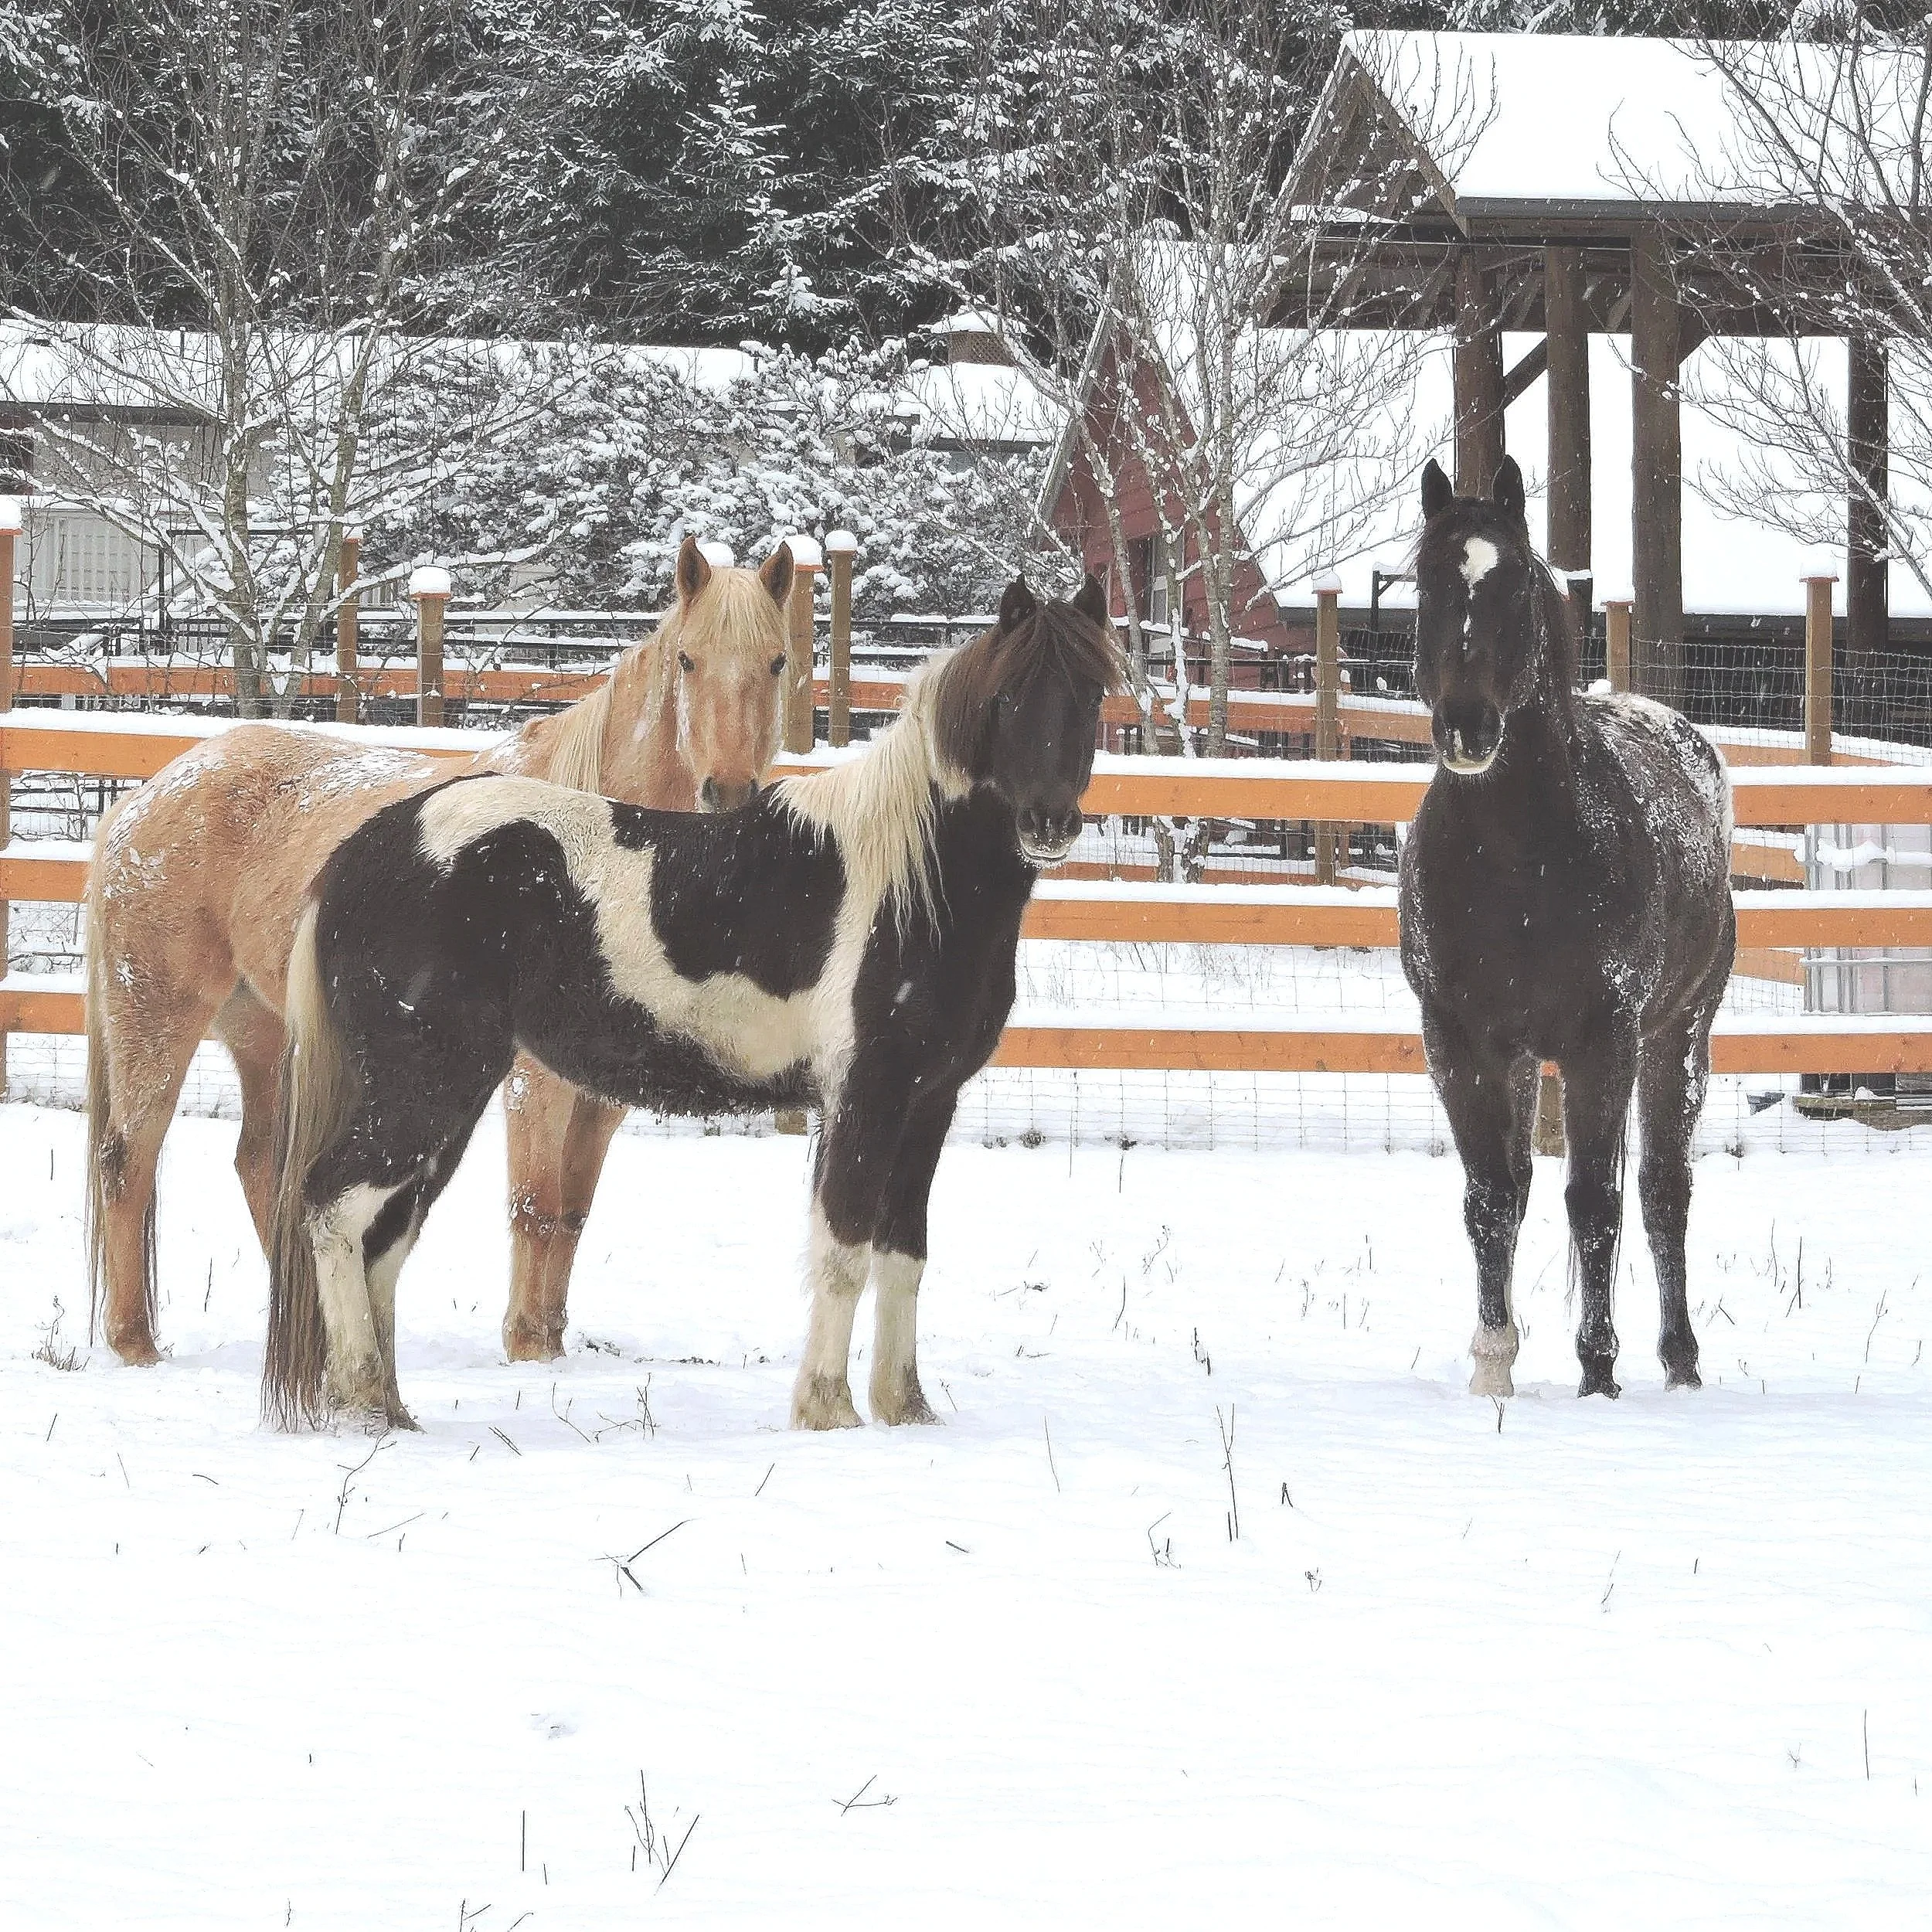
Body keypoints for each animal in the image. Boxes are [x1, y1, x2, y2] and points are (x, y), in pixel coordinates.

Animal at [84, 536, 794, 1369]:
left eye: (778, 661)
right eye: (687, 659)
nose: (730, 793)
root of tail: (145, 798)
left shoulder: (603, 1092)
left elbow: (573, 1211)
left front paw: (551, 1341)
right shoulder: (533, 1080)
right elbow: (535, 1203)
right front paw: (527, 1349)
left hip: (261, 1029)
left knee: (261, 1165)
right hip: (159, 1015)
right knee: (128, 1160)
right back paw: (135, 1344)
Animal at [261, 574, 1124, 1433]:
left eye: (1092, 694)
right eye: (1007, 698)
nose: (1049, 823)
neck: (914, 883)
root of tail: (366, 851)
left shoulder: (928, 1103)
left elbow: (903, 1256)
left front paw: (905, 1408)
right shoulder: (865, 1097)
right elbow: (842, 1251)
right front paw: (829, 1411)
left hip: (449, 1097)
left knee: (385, 1235)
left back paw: (387, 1407)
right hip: (424, 1089)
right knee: (334, 1206)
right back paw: (363, 1399)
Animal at [1397, 457, 1735, 1399]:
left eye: (1513, 584)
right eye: (1426, 581)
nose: (1466, 727)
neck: (1519, 863)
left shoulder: (1601, 1043)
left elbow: (1594, 1201)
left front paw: (1598, 1372)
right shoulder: (1460, 1040)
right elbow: (1490, 1198)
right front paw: (1492, 1366)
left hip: (1677, 1039)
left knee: (1662, 1192)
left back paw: (1680, 1362)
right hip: (1523, 1060)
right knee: (1520, 1188)